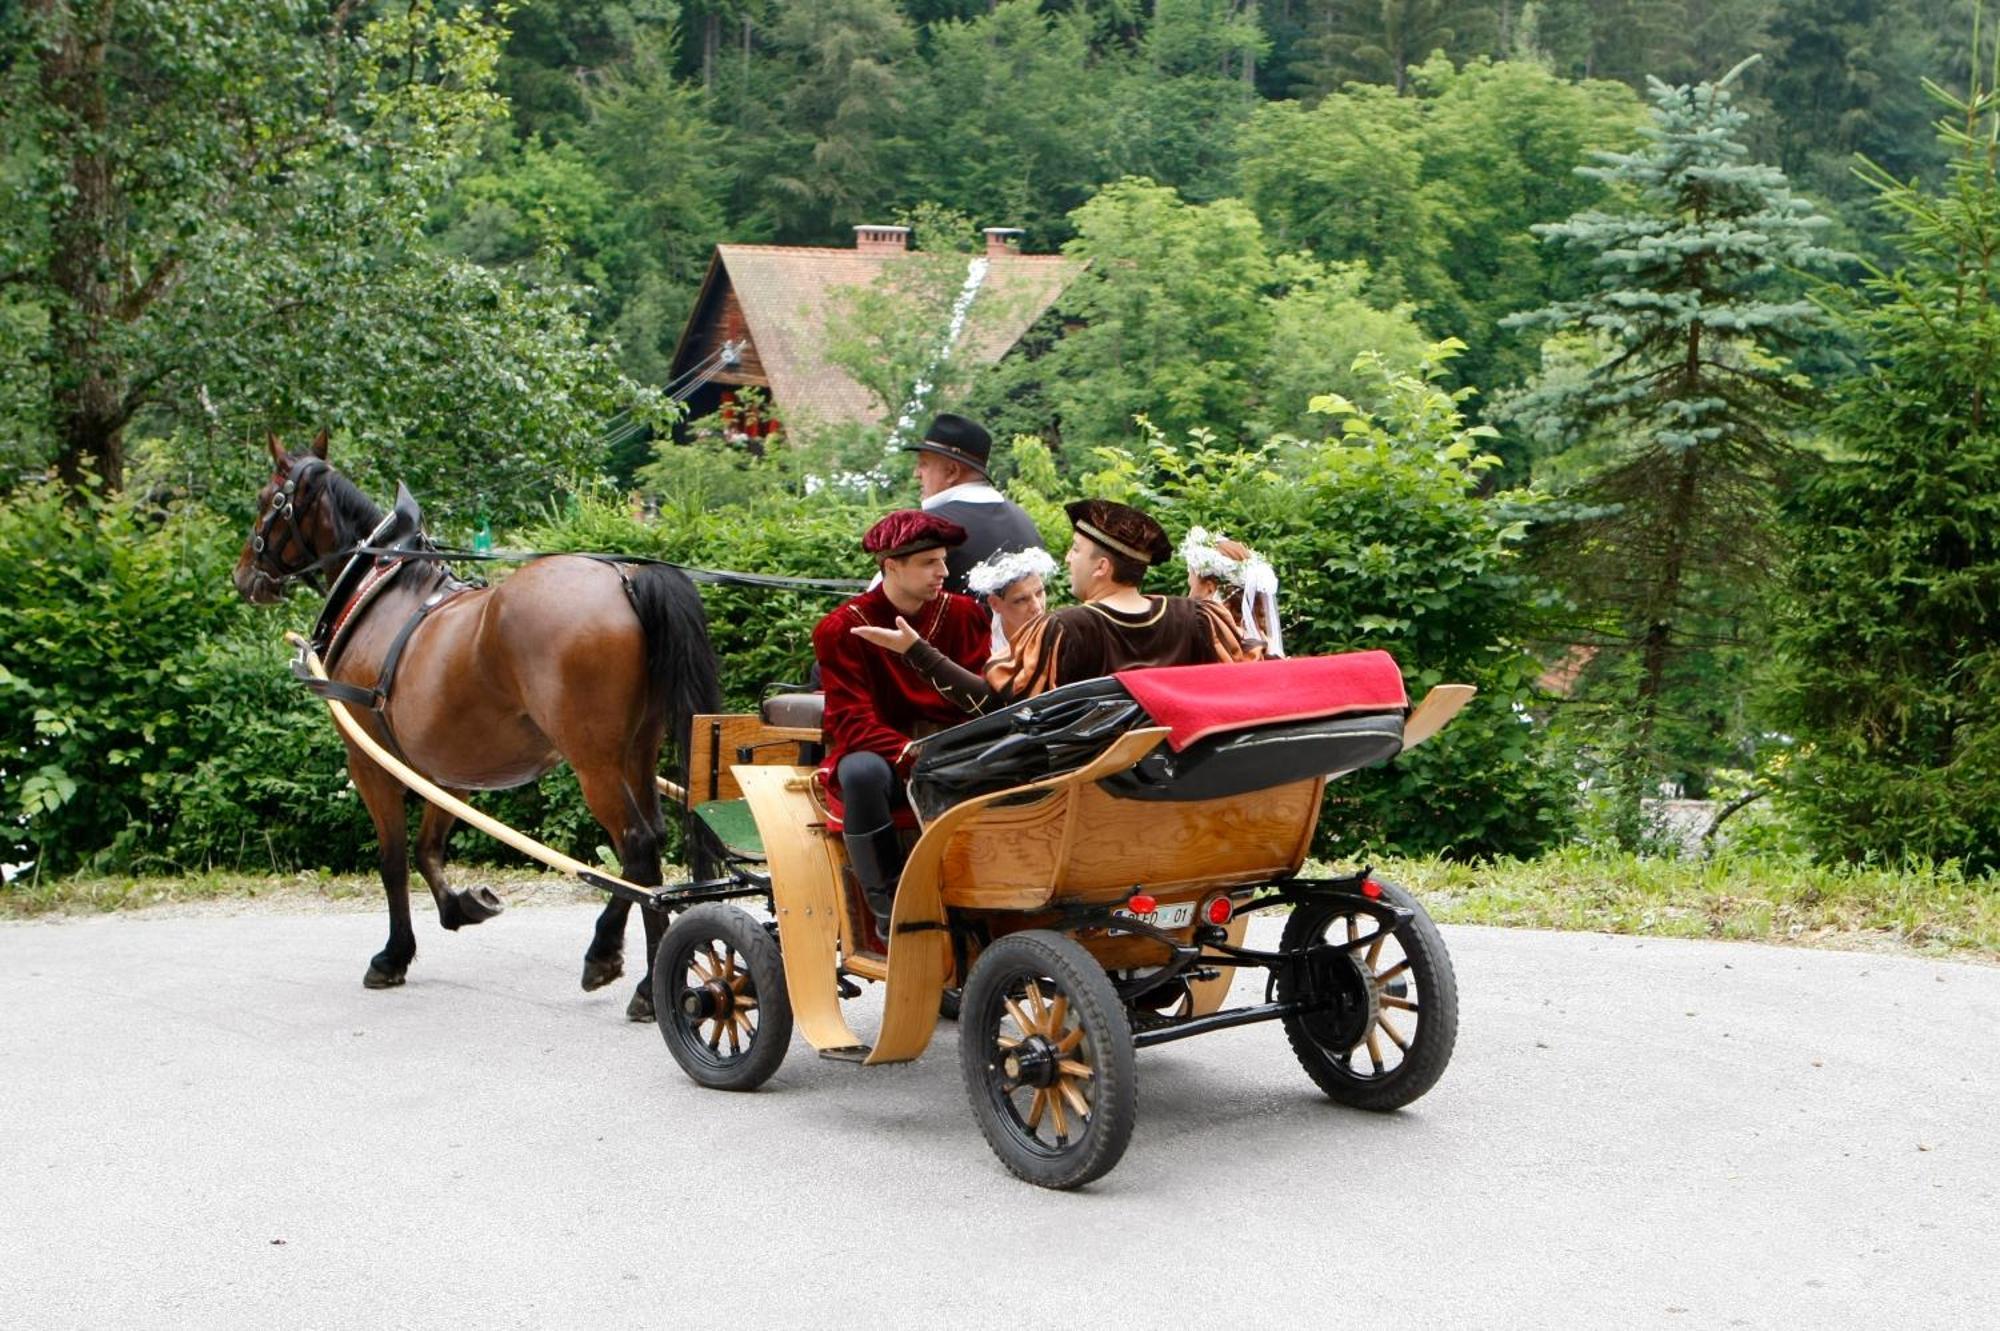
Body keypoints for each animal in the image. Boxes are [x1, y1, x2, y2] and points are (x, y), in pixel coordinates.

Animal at [234, 427, 720, 1015]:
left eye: (267, 501)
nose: (243, 576)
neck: (381, 591)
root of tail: (626, 580)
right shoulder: (450, 771)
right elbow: (428, 848)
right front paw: (463, 906)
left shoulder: (372, 764)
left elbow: (393, 859)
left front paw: (393, 956)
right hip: (636, 752)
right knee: (650, 846)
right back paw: (636, 974)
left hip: (596, 763)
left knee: (638, 847)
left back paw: (628, 971)